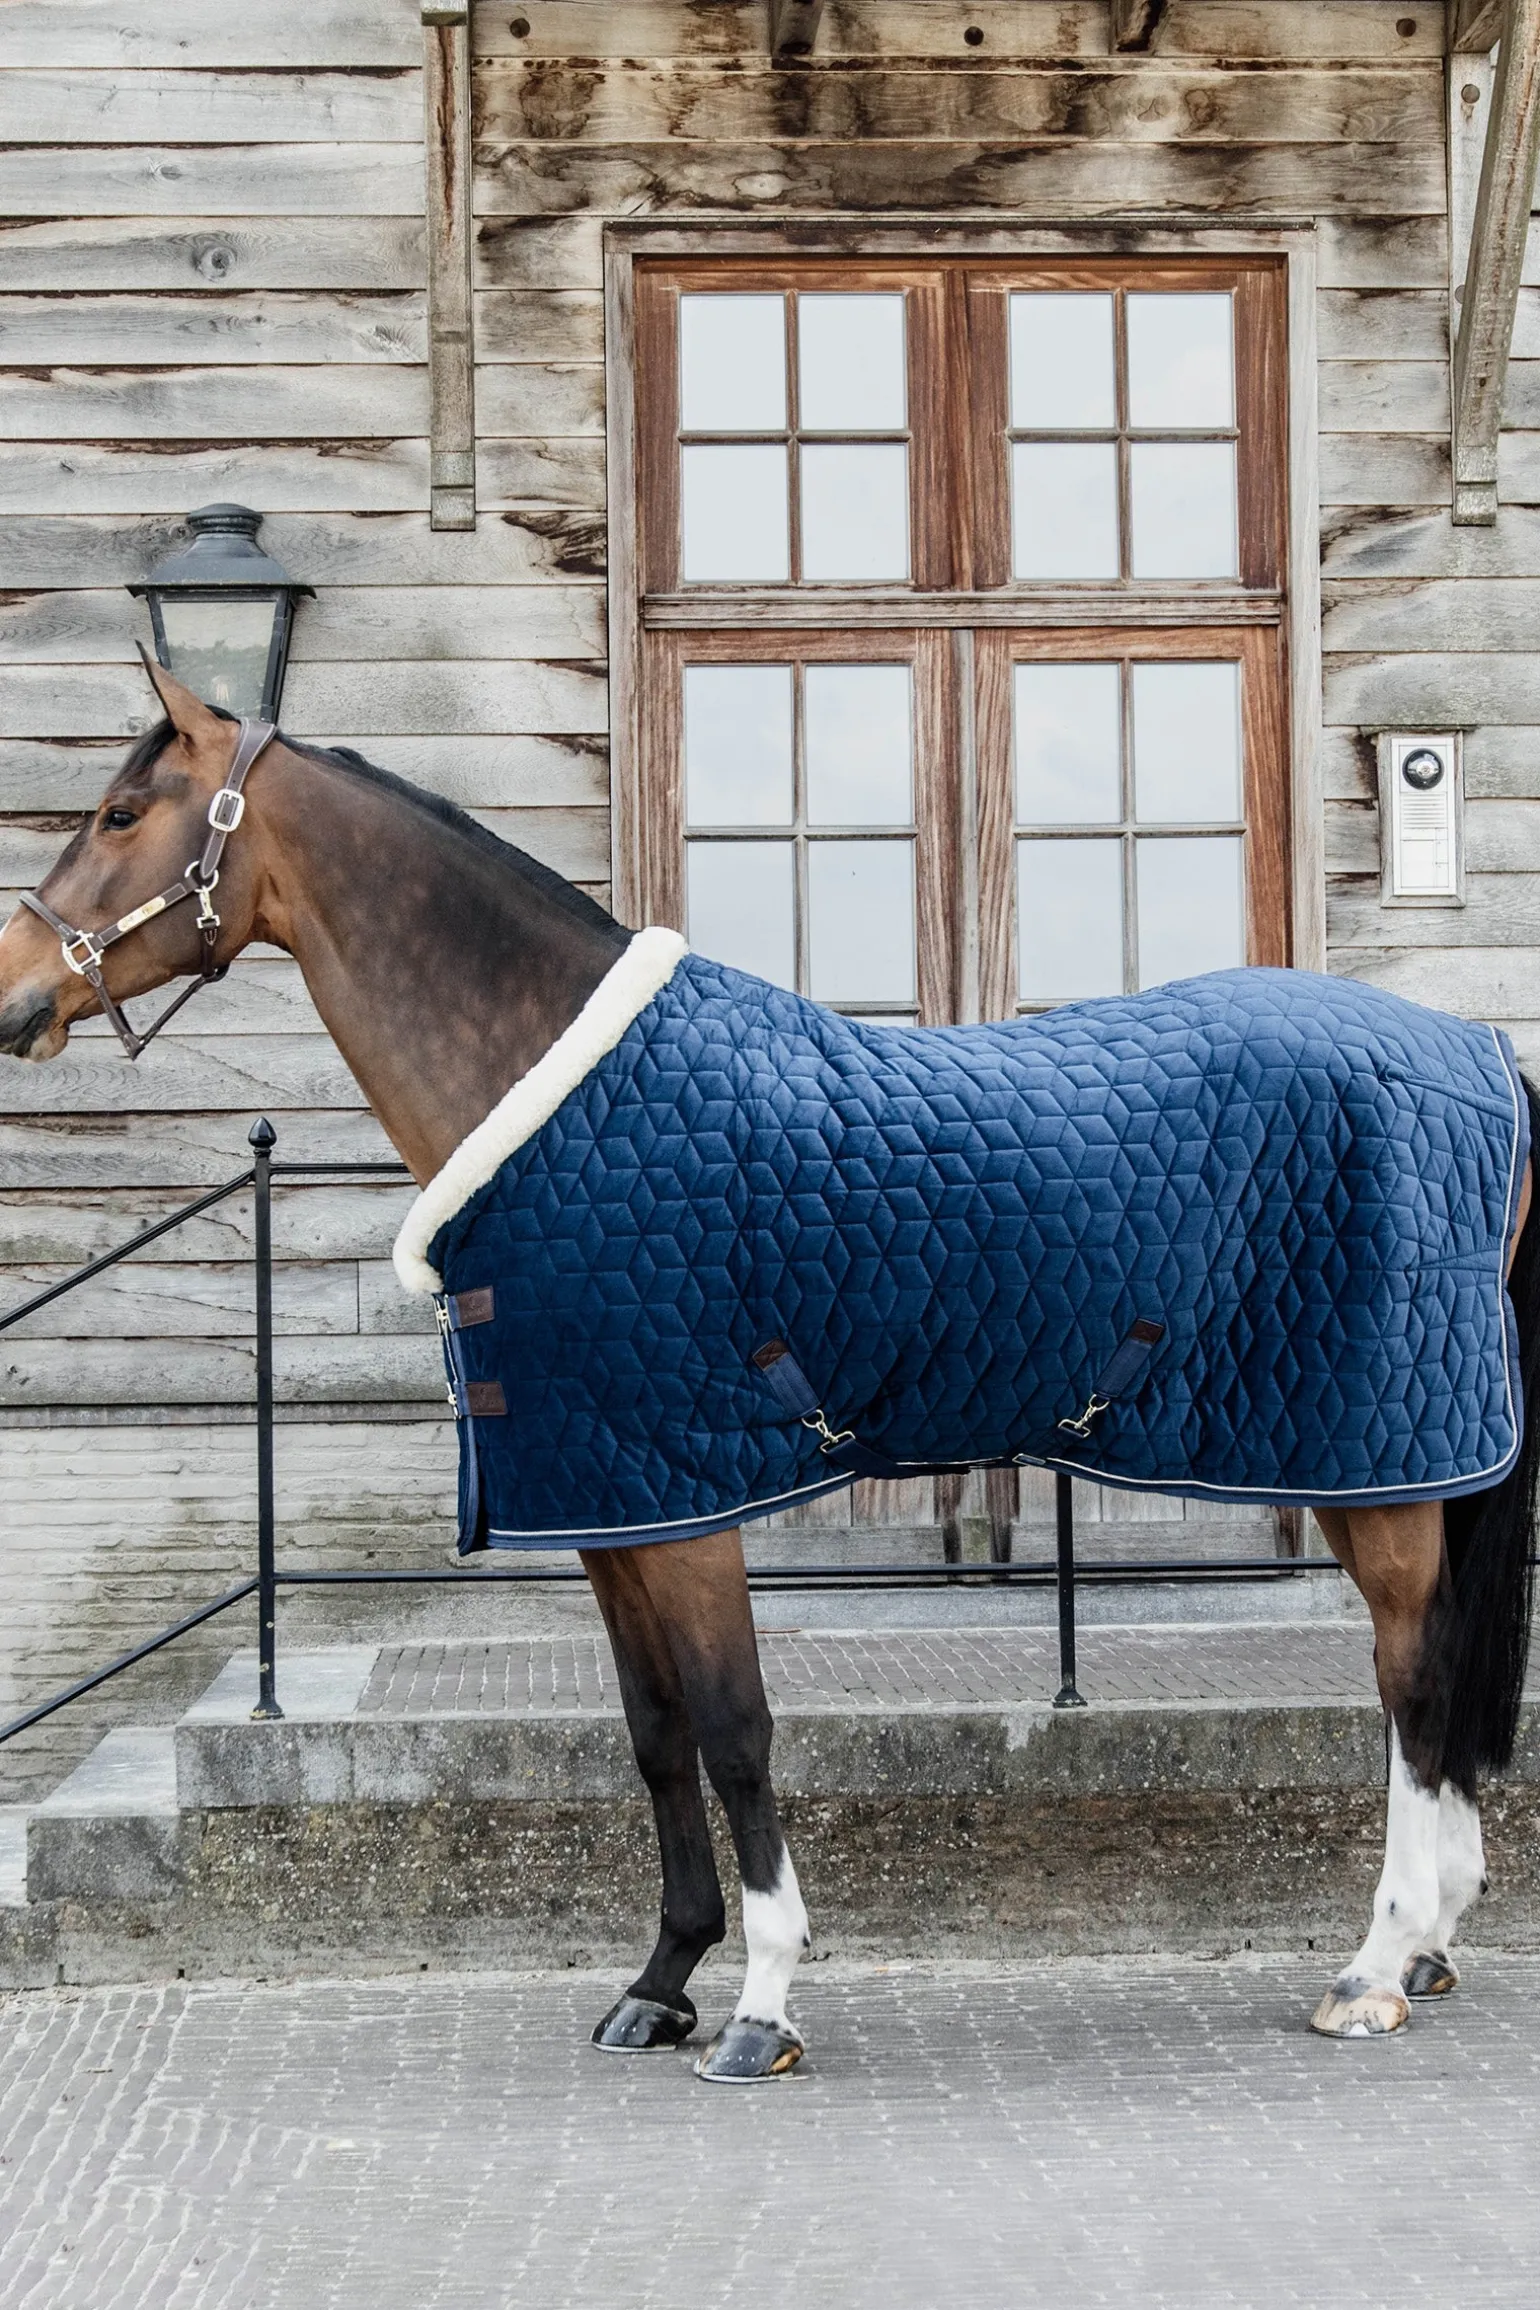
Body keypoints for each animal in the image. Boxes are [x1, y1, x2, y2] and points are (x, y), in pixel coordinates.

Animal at [1, 659, 1535, 2078]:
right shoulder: (615, 1505)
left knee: (1410, 1681)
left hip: (1378, 1466)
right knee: (1428, 1677)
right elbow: (654, 1733)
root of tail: (1471, 1052)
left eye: (121, 811)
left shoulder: (693, 1508)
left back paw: (1376, 1964)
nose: (15, 996)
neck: (565, 1100)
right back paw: (1434, 1938)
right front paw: (661, 1981)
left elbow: (736, 1727)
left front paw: (761, 2002)